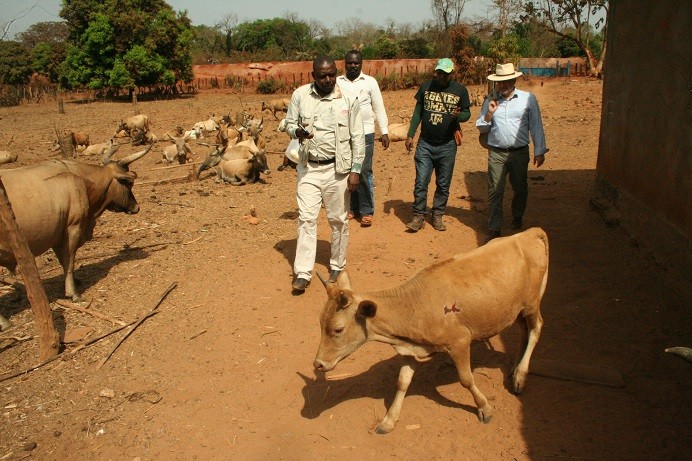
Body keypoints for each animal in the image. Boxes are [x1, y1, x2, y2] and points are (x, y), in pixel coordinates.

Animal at [314, 228, 552, 434]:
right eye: (320, 323)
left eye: (337, 329)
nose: (318, 364)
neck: (413, 304)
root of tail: (530, 233)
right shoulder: (410, 350)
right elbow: (402, 383)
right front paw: (389, 420)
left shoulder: (459, 342)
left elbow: (466, 379)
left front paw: (484, 408)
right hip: (516, 309)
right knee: (524, 331)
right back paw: (514, 370)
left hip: (531, 304)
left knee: (536, 328)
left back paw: (520, 376)